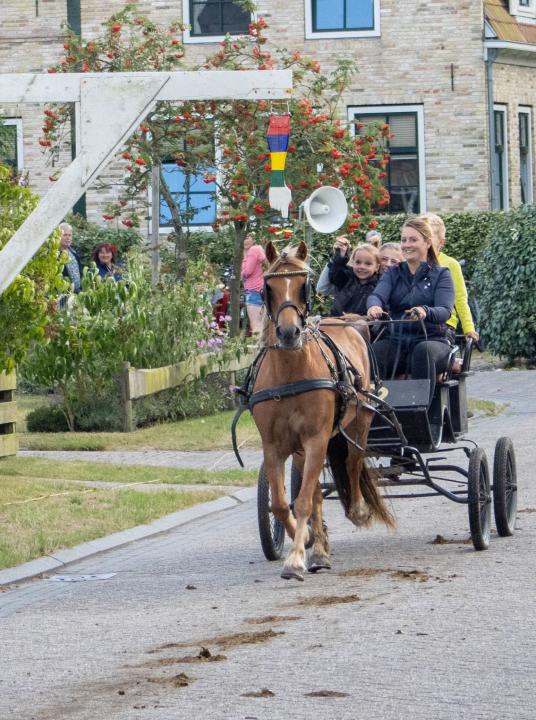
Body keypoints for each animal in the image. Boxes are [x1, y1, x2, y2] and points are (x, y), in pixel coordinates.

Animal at [251, 240, 394, 580]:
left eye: (304, 285)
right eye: (268, 287)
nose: (289, 333)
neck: (290, 374)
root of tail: (347, 322)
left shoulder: (316, 438)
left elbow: (302, 501)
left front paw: (295, 559)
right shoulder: (274, 445)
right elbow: (281, 503)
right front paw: (306, 541)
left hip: (359, 421)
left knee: (353, 463)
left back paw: (356, 511)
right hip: (305, 447)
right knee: (314, 490)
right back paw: (318, 550)